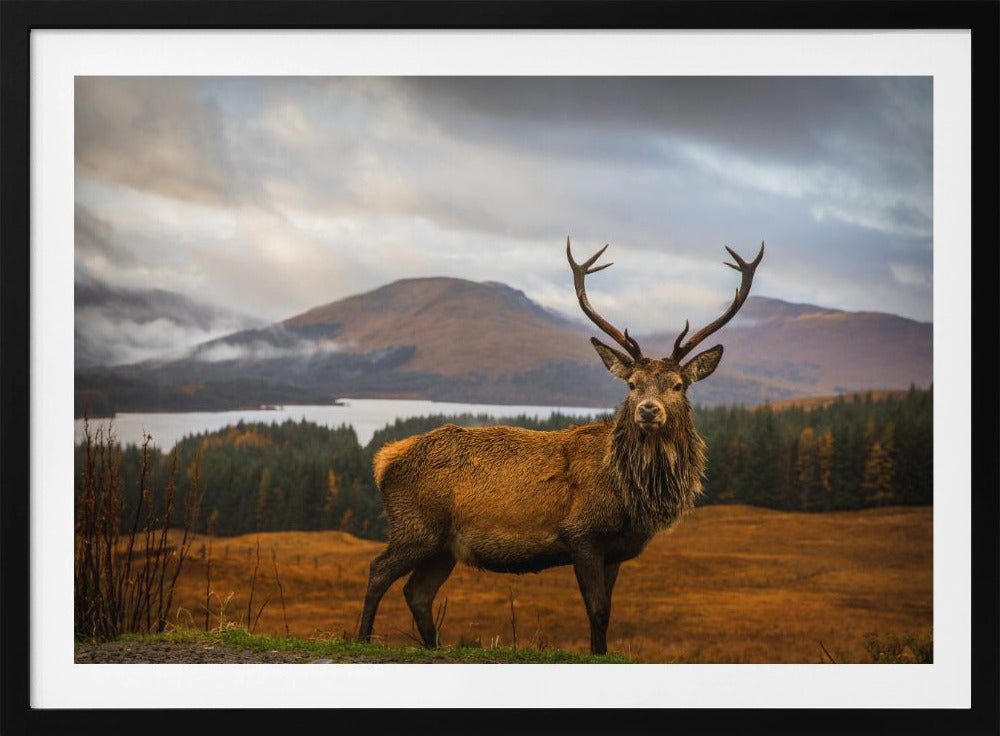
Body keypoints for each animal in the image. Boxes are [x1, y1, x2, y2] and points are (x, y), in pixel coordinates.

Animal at [357, 237, 764, 654]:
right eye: (631, 384)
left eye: (678, 385)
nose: (649, 410)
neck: (631, 498)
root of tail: (384, 459)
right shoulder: (581, 534)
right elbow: (597, 610)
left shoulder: (615, 551)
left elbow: (608, 611)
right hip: (415, 526)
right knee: (377, 571)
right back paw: (362, 637)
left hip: (443, 547)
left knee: (417, 592)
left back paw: (432, 646)